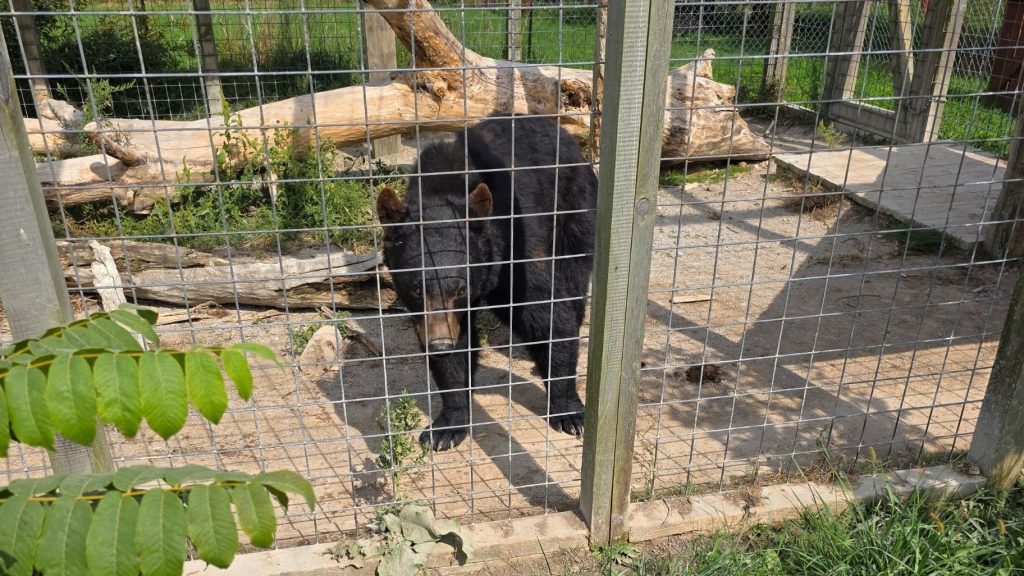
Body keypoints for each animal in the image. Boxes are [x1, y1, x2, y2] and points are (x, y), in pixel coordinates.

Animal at [375, 115, 598, 451]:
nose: (439, 345)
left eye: (460, 289)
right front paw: (446, 427)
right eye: (416, 289)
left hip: (573, 207)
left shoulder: (515, 244)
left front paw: (569, 411)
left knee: (572, 280)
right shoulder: (436, 315)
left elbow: (545, 315)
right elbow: (457, 353)